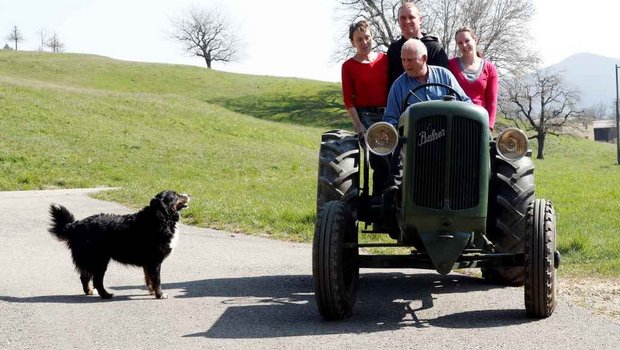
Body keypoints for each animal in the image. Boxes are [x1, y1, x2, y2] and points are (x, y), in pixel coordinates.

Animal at [47, 190, 189, 300]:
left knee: (84, 277)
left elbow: (149, 279)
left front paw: (152, 291)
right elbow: (157, 280)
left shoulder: (148, 263)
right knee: (97, 280)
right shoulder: (154, 261)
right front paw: (160, 294)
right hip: (99, 261)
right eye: (176, 195)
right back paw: (106, 295)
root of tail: (76, 225)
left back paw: (89, 291)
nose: (188, 194)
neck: (160, 217)